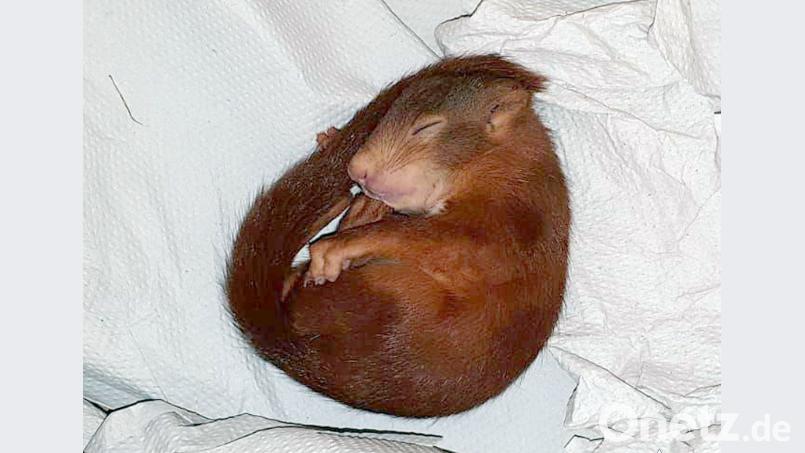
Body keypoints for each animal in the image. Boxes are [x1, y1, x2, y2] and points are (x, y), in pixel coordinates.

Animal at [226, 55, 570, 417]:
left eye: (425, 127)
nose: (356, 170)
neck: (509, 168)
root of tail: (302, 349)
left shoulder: (509, 230)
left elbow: (431, 241)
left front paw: (336, 248)